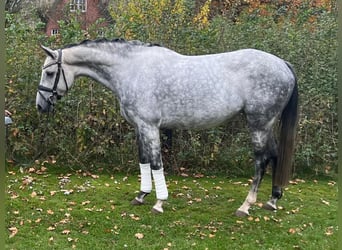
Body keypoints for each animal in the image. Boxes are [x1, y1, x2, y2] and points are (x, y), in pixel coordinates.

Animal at [36, 38, 296, 216]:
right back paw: (272, 200)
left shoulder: (150, 126)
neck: (131, 69)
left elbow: (156, 163)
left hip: (259, 124)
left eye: (50, 73)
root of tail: (283, 64)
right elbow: (143, 160)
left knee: (261, 160)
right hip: (267, 125)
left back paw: (246, 206)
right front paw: (141, 195)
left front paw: (159, 202)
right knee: (275, 155)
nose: (40, 105)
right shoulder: (139, 127)